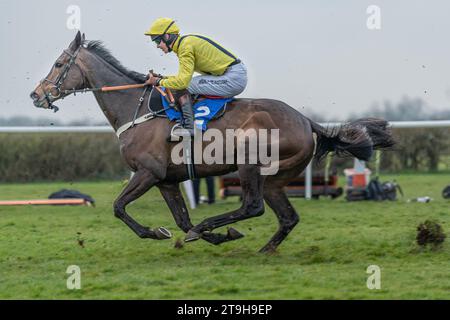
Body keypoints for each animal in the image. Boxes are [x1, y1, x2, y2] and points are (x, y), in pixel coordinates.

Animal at [29, 32, 394, 252]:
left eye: (59, 64)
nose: (36, 95)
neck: (137, 108)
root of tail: (306, 122)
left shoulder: (147, 173)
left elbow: (119, 208)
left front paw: (164, 232)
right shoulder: (165, 180)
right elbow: (180, 219)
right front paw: (202, 235)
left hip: (251, 162)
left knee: (252, 206)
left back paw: (224, 229)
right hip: (276, 179)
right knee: (287, 216)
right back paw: (264, 249)